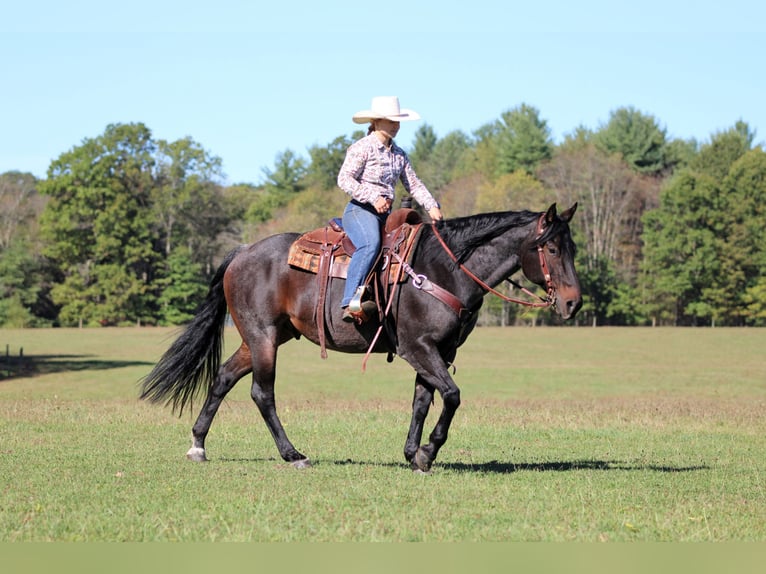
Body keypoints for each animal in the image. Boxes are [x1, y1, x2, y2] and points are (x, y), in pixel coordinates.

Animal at [140, 203, 582, 473]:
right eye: (552, 249)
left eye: (572, 248)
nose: (573, 302)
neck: (442, 269)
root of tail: (243, 252)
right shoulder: (418, 348)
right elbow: (452, 396)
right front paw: (428, 451)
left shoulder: (436, 350)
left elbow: (423, 401)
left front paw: (413, 454)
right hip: (262, 338)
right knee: (261, 394)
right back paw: (293, 454)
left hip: (261, 338)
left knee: (223, 379)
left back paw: (198, 445)